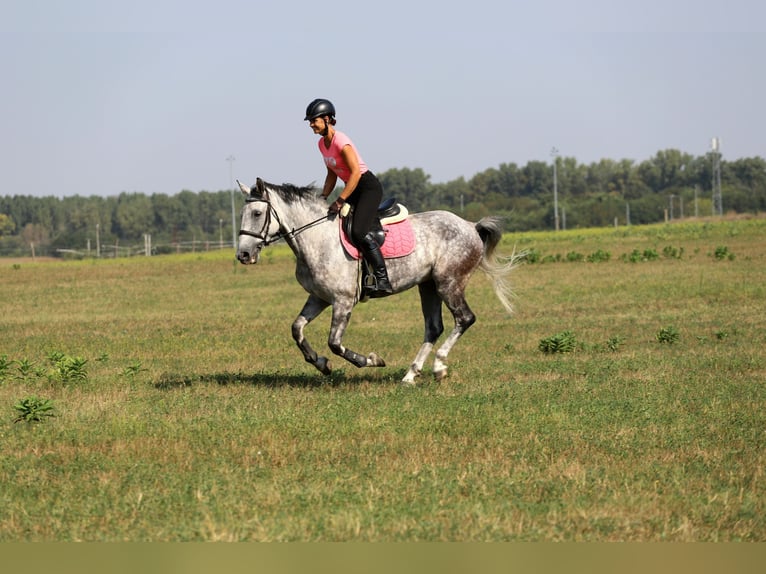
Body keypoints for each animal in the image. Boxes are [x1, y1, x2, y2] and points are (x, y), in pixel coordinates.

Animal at [237, 179, 520, 388]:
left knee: (464, 318)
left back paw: (439, 367)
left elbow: (335, 343)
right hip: (427, 285)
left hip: (448, 282)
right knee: (433, 327)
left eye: (257, 213)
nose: (243, 255)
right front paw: (320, 363)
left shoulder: (343, 301)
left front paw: (372, 360)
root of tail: (471, 226)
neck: (318, 238)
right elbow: (297, 329)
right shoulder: (319, 297)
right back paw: (410, 375)